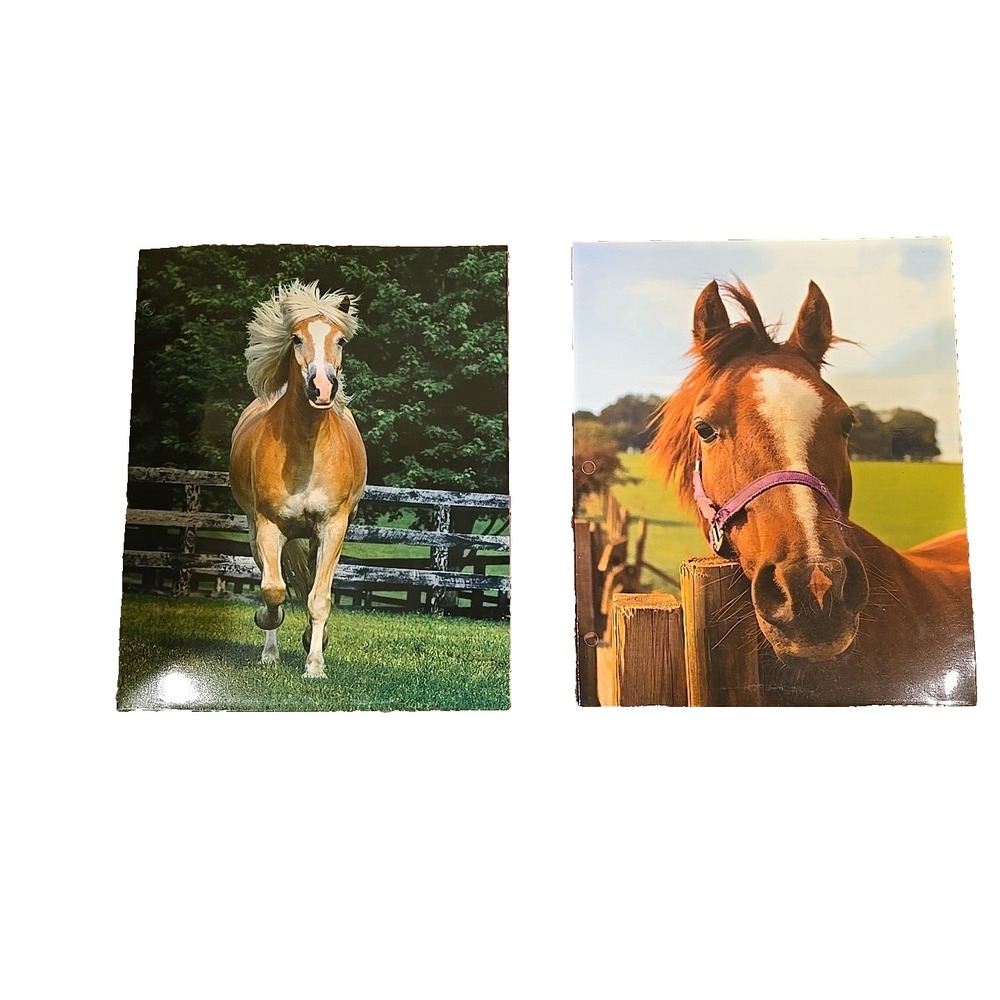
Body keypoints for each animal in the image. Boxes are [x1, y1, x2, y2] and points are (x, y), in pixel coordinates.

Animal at [229, 280, 367, 678]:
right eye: (295, 338)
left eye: (340, 340)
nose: (322, 387)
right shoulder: (269, 526)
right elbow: (273, 590)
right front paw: (265, 623)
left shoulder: (333, 527)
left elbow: (318, 598)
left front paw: (315, 665)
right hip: (255, 531)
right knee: (276, 580)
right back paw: (270, 653)